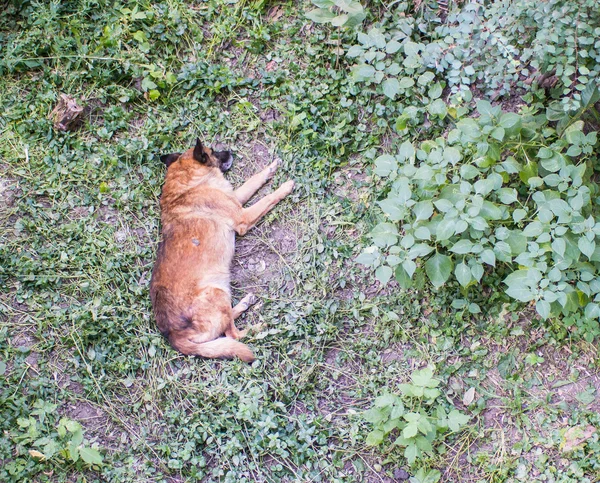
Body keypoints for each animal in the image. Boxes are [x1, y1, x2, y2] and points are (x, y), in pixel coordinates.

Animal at [150, 138, 296, 362]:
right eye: (213, 151)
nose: (229, 151)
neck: (188, 183)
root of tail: (173, 335)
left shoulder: (235, 198)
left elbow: (253, 180)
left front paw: (271, 168)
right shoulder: (243, 216)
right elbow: (268, 198)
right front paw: (284, 187)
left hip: (222, 294)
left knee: (226, 326)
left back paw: (245, 303)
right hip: (216, 292)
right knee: (233, 335)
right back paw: (261, 327)